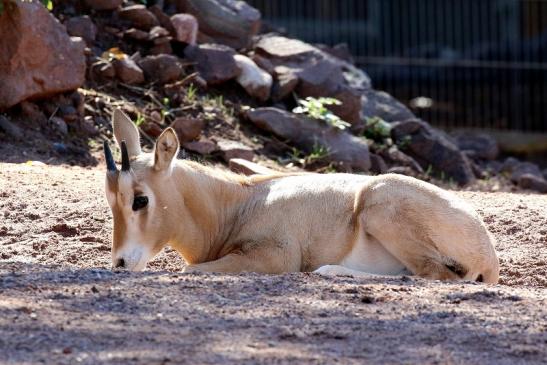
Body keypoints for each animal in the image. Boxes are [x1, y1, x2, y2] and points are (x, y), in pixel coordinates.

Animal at [103, 108, 500, 282]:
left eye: (140, 198)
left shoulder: (275, 257)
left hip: (379, 203)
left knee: (433, 274)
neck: (238, 203)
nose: (120, 263)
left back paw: (330, 270)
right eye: (110, 200)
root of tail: (487, 252)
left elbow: (189, 269)